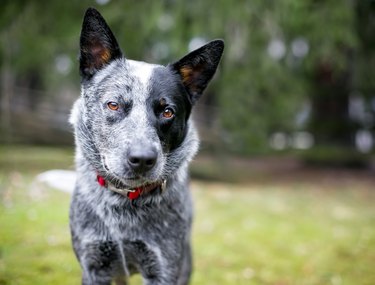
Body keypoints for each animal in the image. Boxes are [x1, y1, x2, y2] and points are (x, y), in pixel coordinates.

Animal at [69, 7, 225, 284]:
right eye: (113, 104)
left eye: (167, 111)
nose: (142, 159)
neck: (122, 202)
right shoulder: (94, 264)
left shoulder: (164, 267)